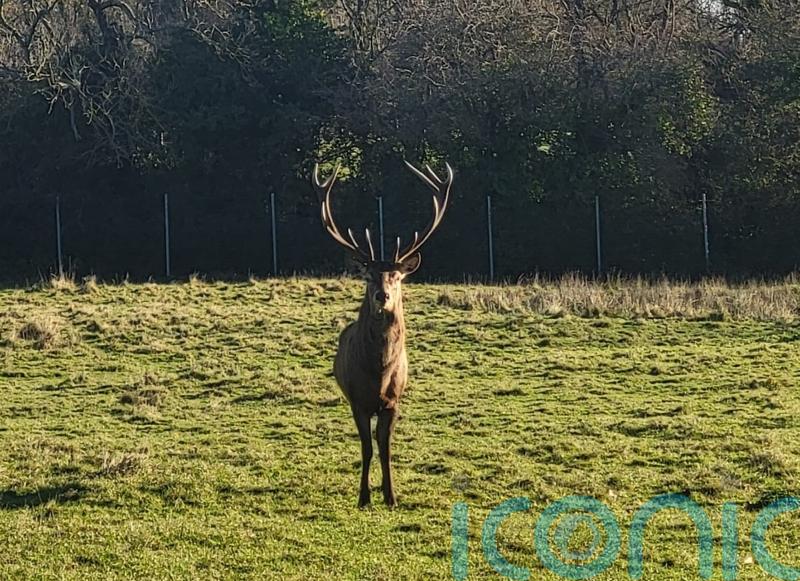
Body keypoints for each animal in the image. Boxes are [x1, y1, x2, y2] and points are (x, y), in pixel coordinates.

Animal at [312, 160, 453, 508]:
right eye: (369, 276)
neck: (378, 373)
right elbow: (366, 448)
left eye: (396, 276)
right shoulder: (357, 401)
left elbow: (385, 448)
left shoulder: (393, 401)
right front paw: (364, 497)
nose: (382, 295)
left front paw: (391, 496)